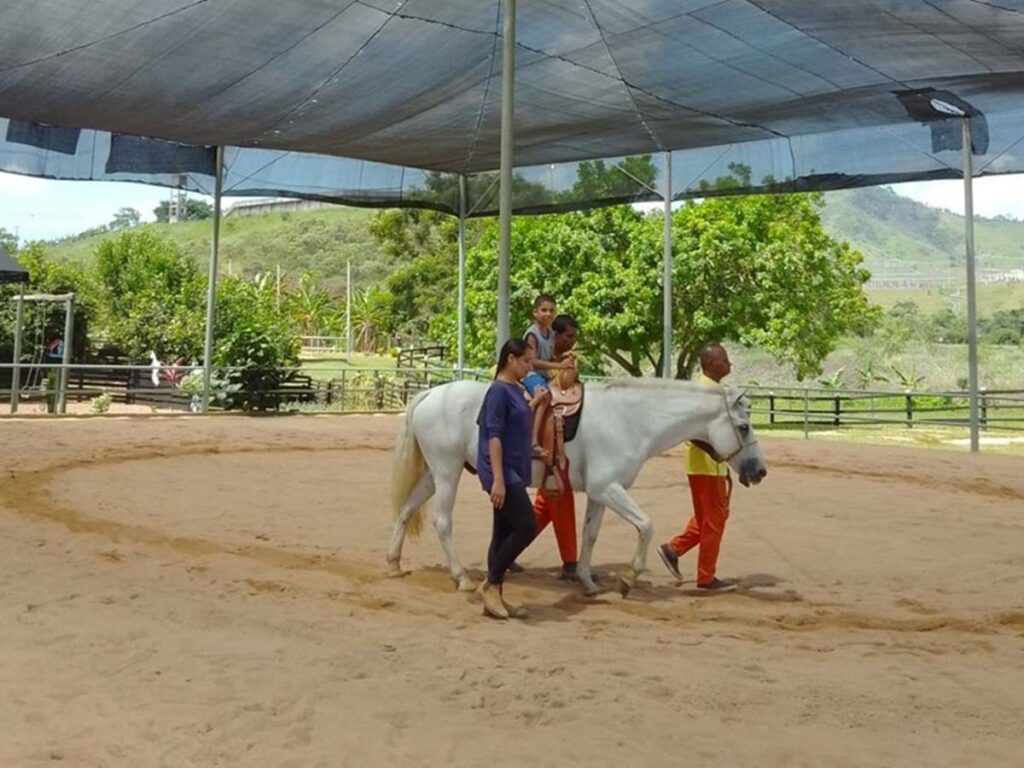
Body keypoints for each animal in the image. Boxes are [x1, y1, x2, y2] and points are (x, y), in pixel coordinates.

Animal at [387, 376, 765, 593]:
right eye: (744, 426)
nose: (759, 471)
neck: (629, 418)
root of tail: (430, 394)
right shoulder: (608, 487)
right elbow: (645, 525)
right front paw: (629, 578)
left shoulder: (601, 494)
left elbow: (590, 534)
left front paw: (587, 580)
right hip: (447, 472)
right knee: (442, 522)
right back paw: (461, 577)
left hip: (433, 474)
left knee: (405, 510)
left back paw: (393, 564)